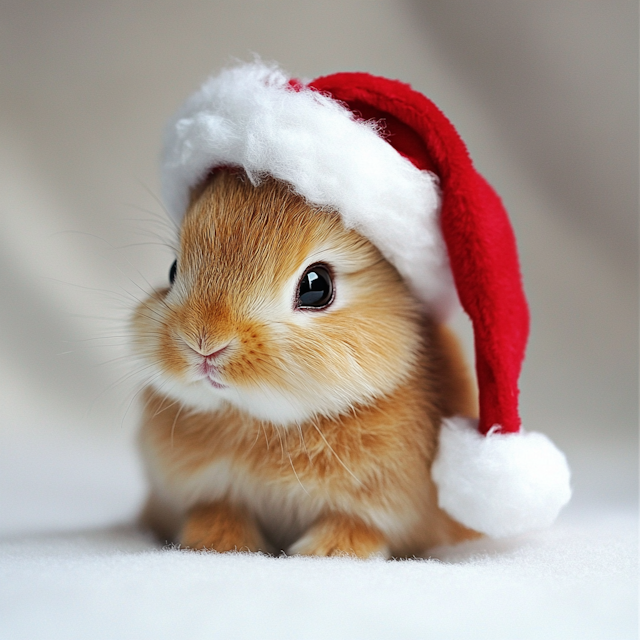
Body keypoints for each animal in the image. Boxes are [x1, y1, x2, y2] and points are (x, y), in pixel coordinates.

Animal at [131, 168, 480, 556]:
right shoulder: (212, 491)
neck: (266, 422)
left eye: (317, 286)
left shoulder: (379, 507)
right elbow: (218, 510)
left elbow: (355, 526)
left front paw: (324, 552)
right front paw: (217, 543)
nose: (204, 343)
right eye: (173, 269)